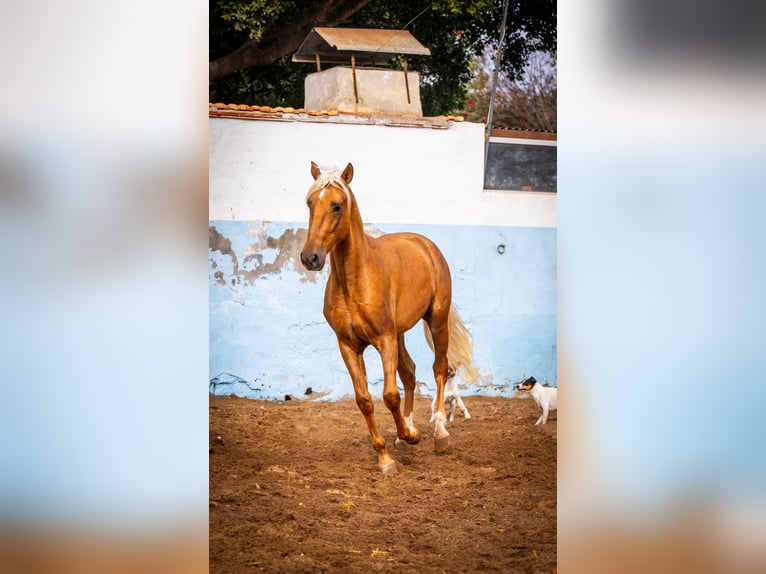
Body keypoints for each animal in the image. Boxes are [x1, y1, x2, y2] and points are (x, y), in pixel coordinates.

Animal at [298, 161, 474, 472]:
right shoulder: (348, 346)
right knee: (410, 373)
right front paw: (386, 456)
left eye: (337, 206)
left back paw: (439, 432)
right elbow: (365, 400)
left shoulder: (384, 339)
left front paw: (411, 437)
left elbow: (390, 395)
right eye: (310, 203)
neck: (355, 280)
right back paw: (407, 430)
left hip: (436, 320)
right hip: (400, 333)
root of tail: (426, 246)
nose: (310, 258)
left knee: (439, 369)